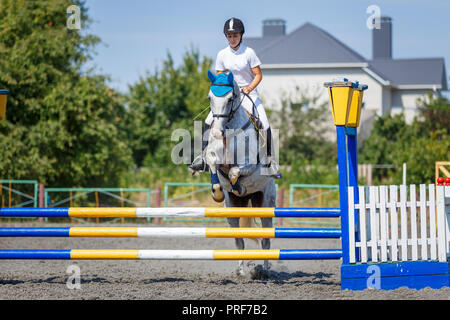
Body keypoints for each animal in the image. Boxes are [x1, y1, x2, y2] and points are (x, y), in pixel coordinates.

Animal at [205, 71, 276, 276]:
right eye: (210, 97)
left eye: (230, 99)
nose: (216, 132)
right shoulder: (214, 157)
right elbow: (214, 164)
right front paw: (218, 193)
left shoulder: (249, 163)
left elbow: (235, 171)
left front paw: (238, 185)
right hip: (233, 209)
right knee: (239, 240)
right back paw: (241, 270)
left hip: (265, 203)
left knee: (266, 240)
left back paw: (264, 270)